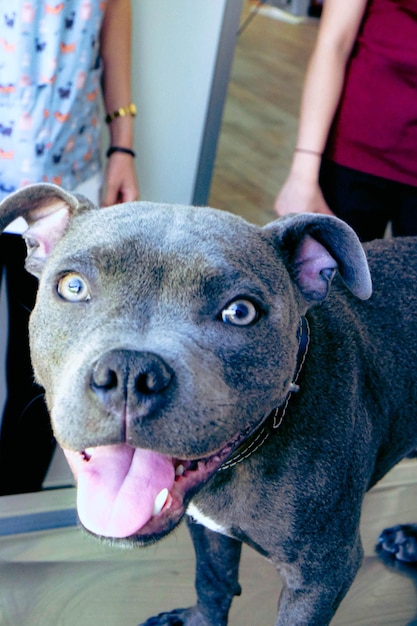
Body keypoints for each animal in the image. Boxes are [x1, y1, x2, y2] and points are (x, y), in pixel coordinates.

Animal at [0, 182, 416, 624]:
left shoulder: (323, 572)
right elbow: (213, 579)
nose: (130, 371)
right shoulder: (207, 529)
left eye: (240, 311)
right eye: (72, 286)